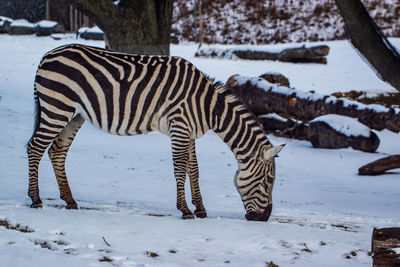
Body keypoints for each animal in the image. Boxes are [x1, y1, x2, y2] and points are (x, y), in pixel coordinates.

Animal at [27, 44, 284, 222]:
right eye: (269, 180)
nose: (264, 219)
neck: (208, 107)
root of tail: (47, 55)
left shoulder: (190, 132)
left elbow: (194, 169)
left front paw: (201, 209)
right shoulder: (179, 126)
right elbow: (180, 167)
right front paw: (185, 210)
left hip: (74, 115)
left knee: (57, 151)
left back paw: (70, 200)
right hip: (57, 107)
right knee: (35, 147)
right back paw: (36, 199)